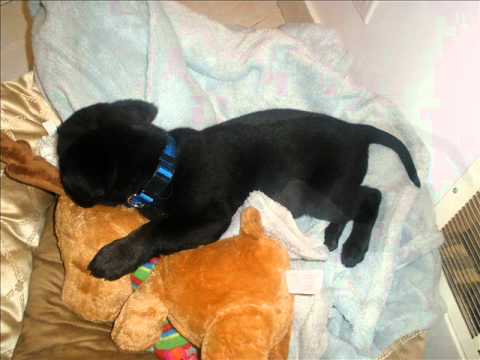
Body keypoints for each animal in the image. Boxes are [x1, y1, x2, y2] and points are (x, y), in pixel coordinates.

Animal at [57, 100, 420, 280]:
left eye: (62, 160)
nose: (56, 131)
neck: (163, 164)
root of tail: (358, 131)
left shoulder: (209, 220)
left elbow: (154, 230)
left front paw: (115, 257)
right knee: (356, 200)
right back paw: (332, 236)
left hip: (321, 192)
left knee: (370, 197)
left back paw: (354, 247)